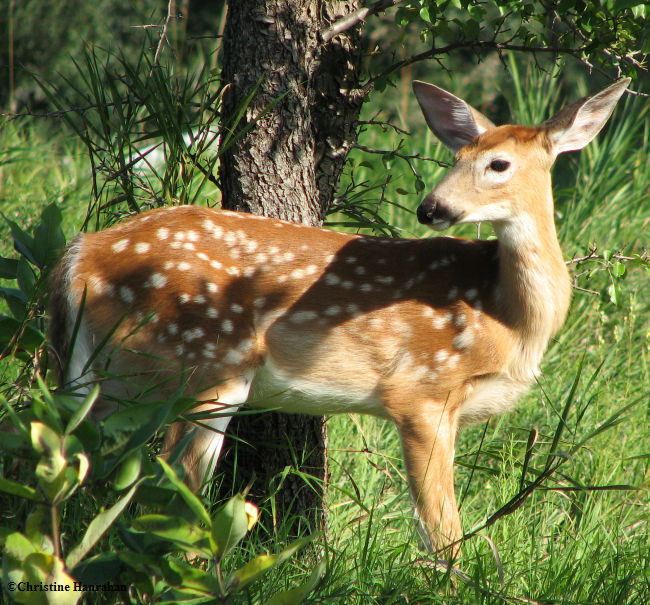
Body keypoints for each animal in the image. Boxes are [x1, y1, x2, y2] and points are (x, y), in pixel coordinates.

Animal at [49, 76, 628, 556]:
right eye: (456, 156)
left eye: (498, 163)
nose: (430, 209)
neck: (506, 314)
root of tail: (81, 253)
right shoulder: (420, 390)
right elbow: (442, 533)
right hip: (204, 364)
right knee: (171, 487)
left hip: (111, 376)